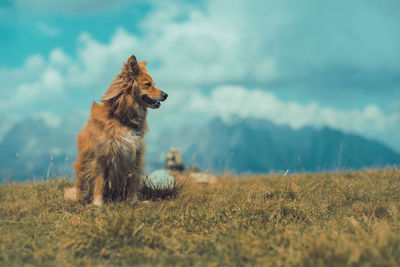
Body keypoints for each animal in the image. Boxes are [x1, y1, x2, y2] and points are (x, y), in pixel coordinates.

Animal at [64, 54, 167, 205]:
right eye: (148, 84)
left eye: (155, 83)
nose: (166, 95)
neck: (122, 118)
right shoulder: (102, 155)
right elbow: (100, 180)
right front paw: (97, 203)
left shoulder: (134, 155)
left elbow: (132, 180)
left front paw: (134, 201)